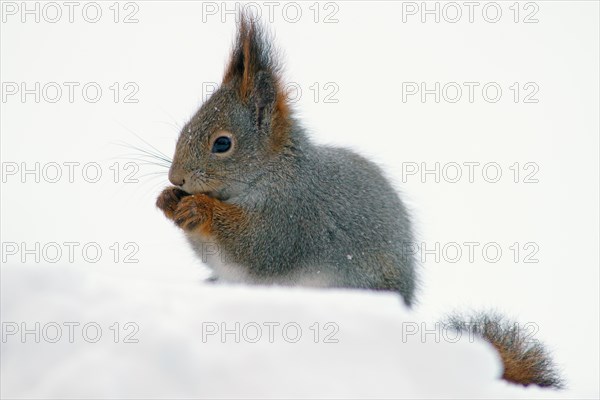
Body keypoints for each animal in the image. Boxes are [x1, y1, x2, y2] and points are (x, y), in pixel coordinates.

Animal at [155, 11, 564, 388]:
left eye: (222, 144)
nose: (177, 178)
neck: (271, 173)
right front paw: (167, 199)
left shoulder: (292, 215)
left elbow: (256, 247)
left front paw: (198, 208)